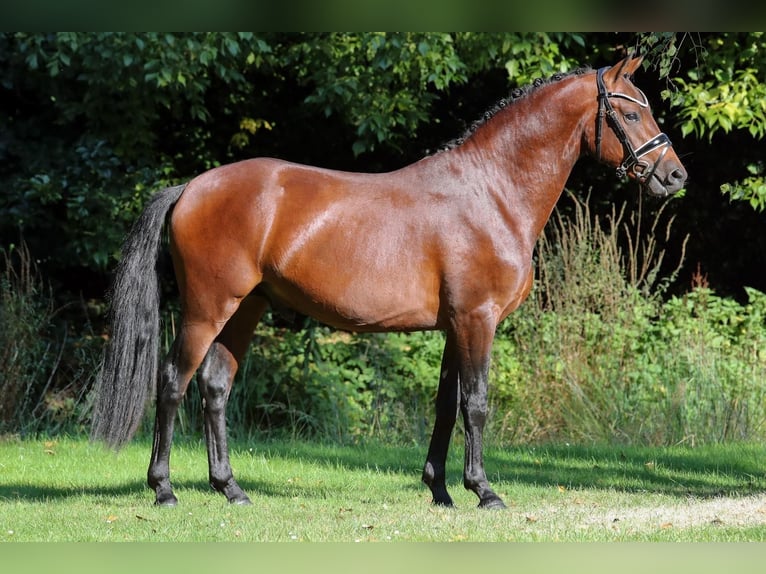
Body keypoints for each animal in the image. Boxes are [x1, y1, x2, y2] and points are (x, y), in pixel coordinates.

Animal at [90, 56, 688, 510]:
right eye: (630, 111)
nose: (675, 175)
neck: (491, 192)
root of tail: (191, 187)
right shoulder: (478, 320)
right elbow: (476, 404)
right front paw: (485, 492)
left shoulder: (455, 326)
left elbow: (447, 405)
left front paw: (441, 491)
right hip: (207, 309)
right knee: (173, 382)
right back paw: (164, 489)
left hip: (245, 309)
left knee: (215, 387)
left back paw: (230, 489)